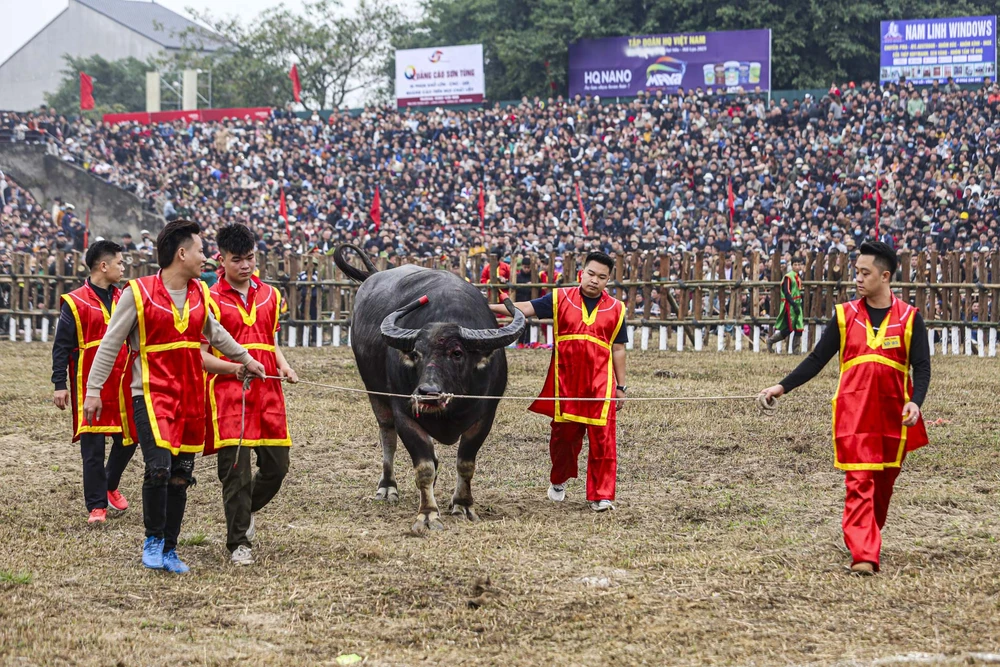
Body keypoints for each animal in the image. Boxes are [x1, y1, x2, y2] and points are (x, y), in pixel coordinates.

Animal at [334, 248, 528, 536]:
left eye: (457, 353)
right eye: (416, 353)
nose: (427, 392)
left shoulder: (485, 416)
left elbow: (465, 463)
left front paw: (463, 505)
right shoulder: (404, 414)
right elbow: (422, 467)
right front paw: (427, 515)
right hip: (375, 394)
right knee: (387, 436)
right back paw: (387, 487)